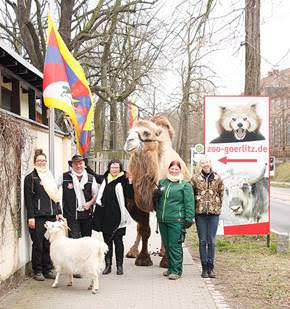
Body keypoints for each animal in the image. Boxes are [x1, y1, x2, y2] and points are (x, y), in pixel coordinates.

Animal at [123, 116, 191, 266]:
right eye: (129, 131)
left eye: (146, 133)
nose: (128, 141)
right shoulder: (136, 204)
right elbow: (144, 230)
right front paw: (143, 259)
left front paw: (166, 261)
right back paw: (132, 251)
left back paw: (162, 252)